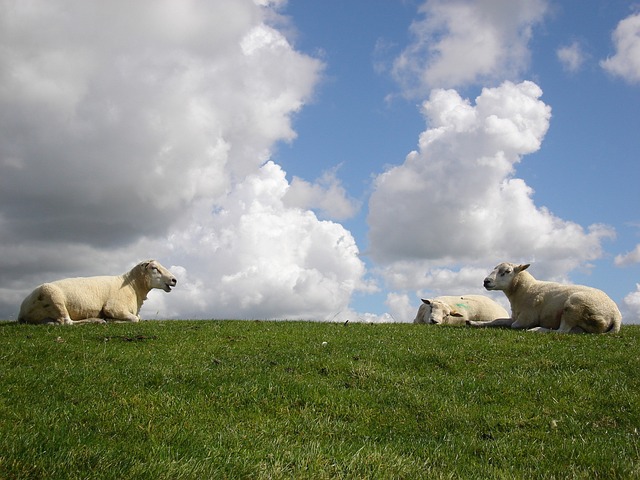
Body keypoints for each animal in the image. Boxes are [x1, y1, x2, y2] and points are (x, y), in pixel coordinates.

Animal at [18, 260, 178, 324]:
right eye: (154, 268)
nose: (174, 280)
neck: (133, 287)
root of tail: (22, 309)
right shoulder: (113, 308)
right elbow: (135, 319)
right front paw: (112, 320)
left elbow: (139, 318)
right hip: (53, 297)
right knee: (67, 322)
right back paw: (96, 320)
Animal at [468, 262, 624, 334]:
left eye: (507, 271)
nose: (486, 281)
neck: (525, 289)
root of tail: (616, 315)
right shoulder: (515, 316)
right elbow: (497, 320)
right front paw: (475, 323)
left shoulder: (525, 319)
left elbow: (512, 325)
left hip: (574, 305)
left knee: (562, 331)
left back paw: (537, 329)